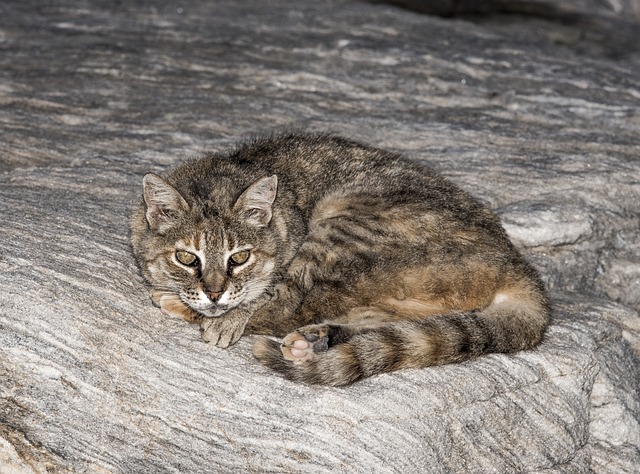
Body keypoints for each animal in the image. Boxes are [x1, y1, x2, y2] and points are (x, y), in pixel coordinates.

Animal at [130, 132, 552, 386]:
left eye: (241, 257)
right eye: (187, 257)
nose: (215, 294)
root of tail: (517, 266)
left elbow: (260, 301)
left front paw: (215, 315)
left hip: (340, 229)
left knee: (288, 308)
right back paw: (316, 340)